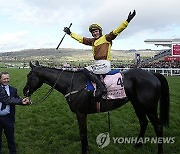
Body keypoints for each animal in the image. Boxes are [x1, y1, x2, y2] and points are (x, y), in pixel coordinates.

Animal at [22, 61, 169, 154]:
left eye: (29, 76)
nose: (24, 91)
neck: (71, 83)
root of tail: (153, 74)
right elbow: (84, 133)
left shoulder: (81, 113)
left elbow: (82, 133)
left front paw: (84, 151)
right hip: (137, 104)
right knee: (143, 122)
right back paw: (137, 145)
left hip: (149, 107)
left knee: (158, 127)